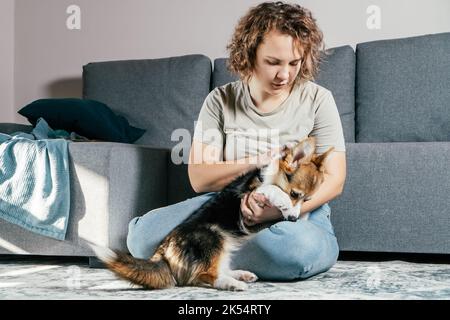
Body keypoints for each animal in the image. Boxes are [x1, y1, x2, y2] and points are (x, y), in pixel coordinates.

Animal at [91, 136, 334, 292]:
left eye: (307, 200)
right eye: (294, 194)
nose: (292, 220)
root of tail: (164, 250)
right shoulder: (252, 199)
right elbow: (272, 190)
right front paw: (282, 201)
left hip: (222, 246)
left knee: (212, 270)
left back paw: (239, 275)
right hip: (212, 237)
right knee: (202, 276)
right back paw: (232, 284)